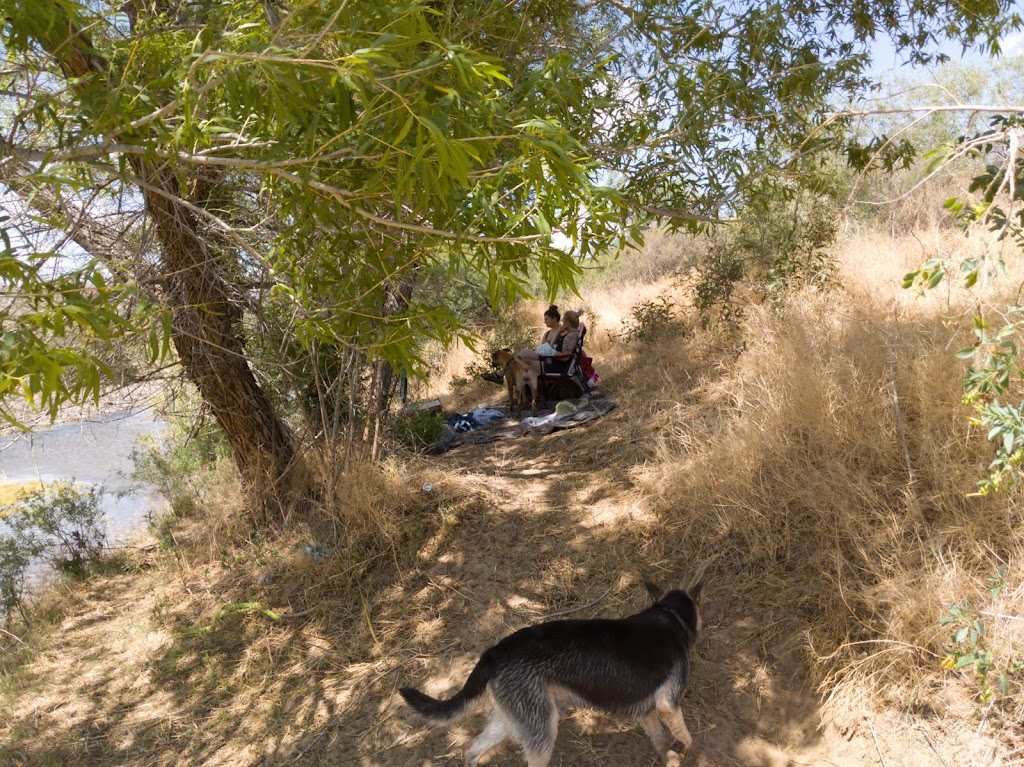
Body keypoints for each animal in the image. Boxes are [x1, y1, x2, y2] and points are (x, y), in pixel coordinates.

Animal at [395, 581, 700, 761]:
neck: (668, 614)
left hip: (519, 719)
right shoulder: (667, 705)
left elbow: (662, 742)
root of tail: (494, 652)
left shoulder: (648, 712)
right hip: (542, 731)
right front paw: (683, 750)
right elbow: (686, 736)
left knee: (473, 749)